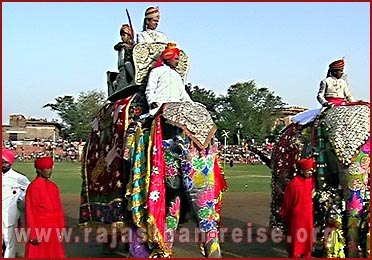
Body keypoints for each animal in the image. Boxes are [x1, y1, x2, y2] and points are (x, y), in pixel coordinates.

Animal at [78, 41, 227, 256]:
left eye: (215, 150)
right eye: (177, 150)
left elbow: (174, 206)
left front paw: (161, 250)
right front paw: (153, 252)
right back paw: (110, 247)